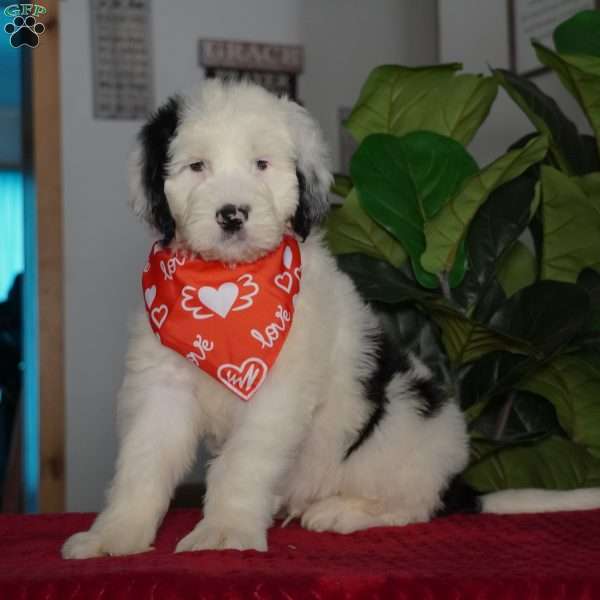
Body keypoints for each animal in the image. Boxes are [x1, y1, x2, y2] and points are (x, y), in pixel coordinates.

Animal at [63, 79, 600, 556]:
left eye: (262, 164)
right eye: (197, 166)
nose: (232, 214)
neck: (228, 291)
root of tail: (458, 485)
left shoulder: (277, 390)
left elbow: (242, 462)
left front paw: (224, 532)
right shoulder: (162, 385)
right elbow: (143, 461)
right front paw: (116, 535)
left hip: (404, 420)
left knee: (412, 504)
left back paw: (341, 510)